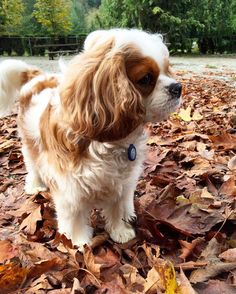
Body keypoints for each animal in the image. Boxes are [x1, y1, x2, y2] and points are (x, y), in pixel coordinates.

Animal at [0, 28, 183, 249]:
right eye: (146, 78)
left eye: (166, 69)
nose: (178, 87)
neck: (108, 142)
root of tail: (39, 78)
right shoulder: (69, 186)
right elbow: (74, 216)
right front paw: (77, 240)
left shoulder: (120, 182)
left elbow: (117, 207)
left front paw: (120, 231)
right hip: (30, 144)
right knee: (32, 166)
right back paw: (35, 185)